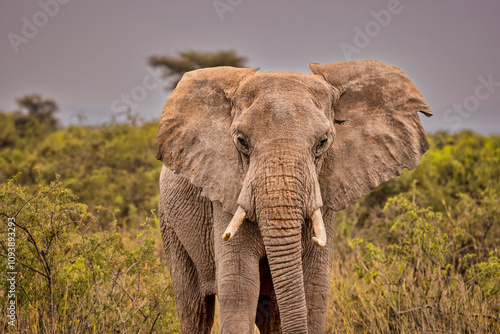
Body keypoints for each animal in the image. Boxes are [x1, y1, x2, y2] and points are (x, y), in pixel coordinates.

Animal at [156, 58, 434, 332]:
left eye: (323, 142)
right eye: (241, 142)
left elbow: (314, 289)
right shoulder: (225, 192)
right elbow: (239, 287)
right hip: (170, 225)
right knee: (194, 308)